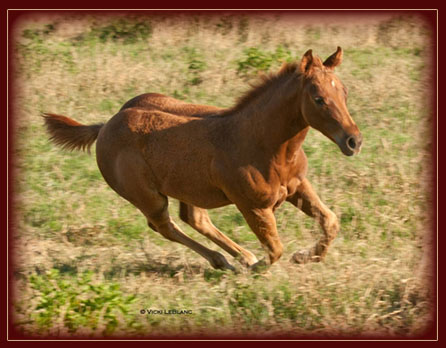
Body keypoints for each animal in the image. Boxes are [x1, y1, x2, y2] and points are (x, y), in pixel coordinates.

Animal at [42, 46, 362, 270]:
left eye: (345, 92)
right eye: (318, 99)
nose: (353, 141)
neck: (264, 143)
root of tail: (104, 125)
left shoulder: (297, 186)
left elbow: (330, 221)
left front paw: (305, 257)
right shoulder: (253, 206)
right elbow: (275, 249)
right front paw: (261, 267)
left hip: (188, 188)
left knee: (194, 218)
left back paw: (240, 257)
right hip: (147, 196)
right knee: (164, 225)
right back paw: (226, 261)